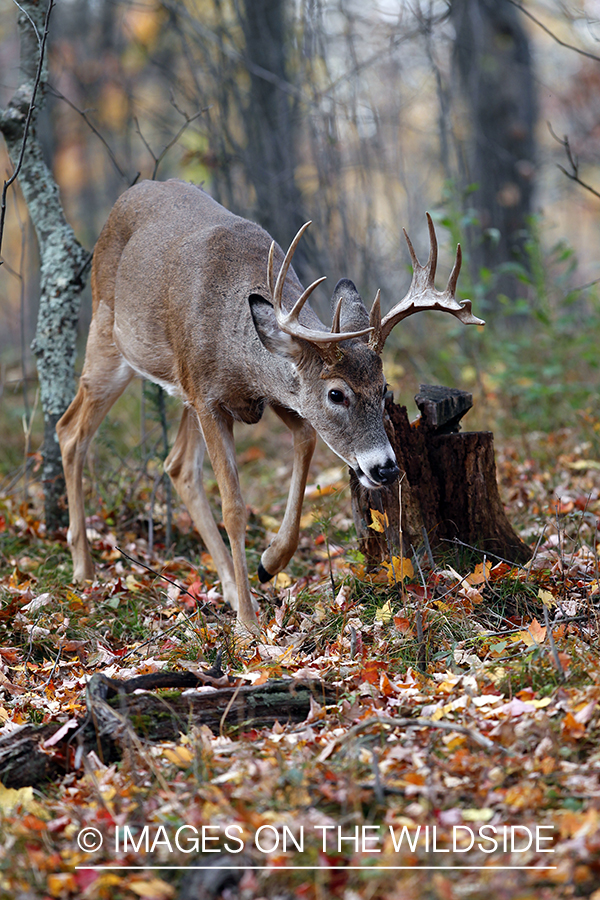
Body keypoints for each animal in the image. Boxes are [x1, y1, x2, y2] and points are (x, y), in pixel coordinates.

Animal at [56, 178, 482, 632]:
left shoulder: (271, 395)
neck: (240, 352)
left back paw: (226, 586)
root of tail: (126, 198)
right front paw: (248, 622)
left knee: (178, 466)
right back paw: (83, 569)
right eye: (336, 393)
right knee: (70, 431)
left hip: (181, 389)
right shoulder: (208, 398)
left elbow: (306, 439)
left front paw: (269, 562)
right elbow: (234, 507)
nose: (385, 468)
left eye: (384, 388)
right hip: (109, 341)